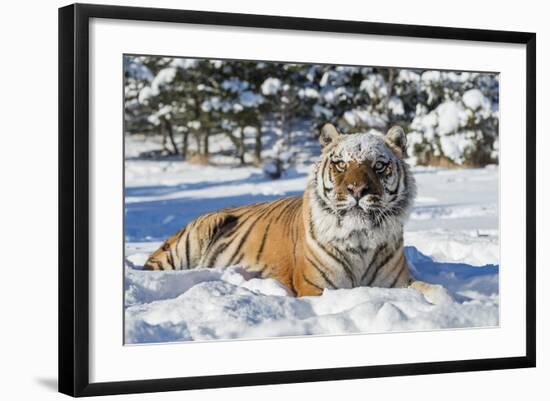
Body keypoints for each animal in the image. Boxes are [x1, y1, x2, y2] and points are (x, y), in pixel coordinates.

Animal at [144, 123, 420, 296]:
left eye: (379, 165)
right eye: (341, 164)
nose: (357, 190)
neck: (361, 239)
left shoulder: (398, 283)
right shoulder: (315, 287)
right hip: (188, 241)